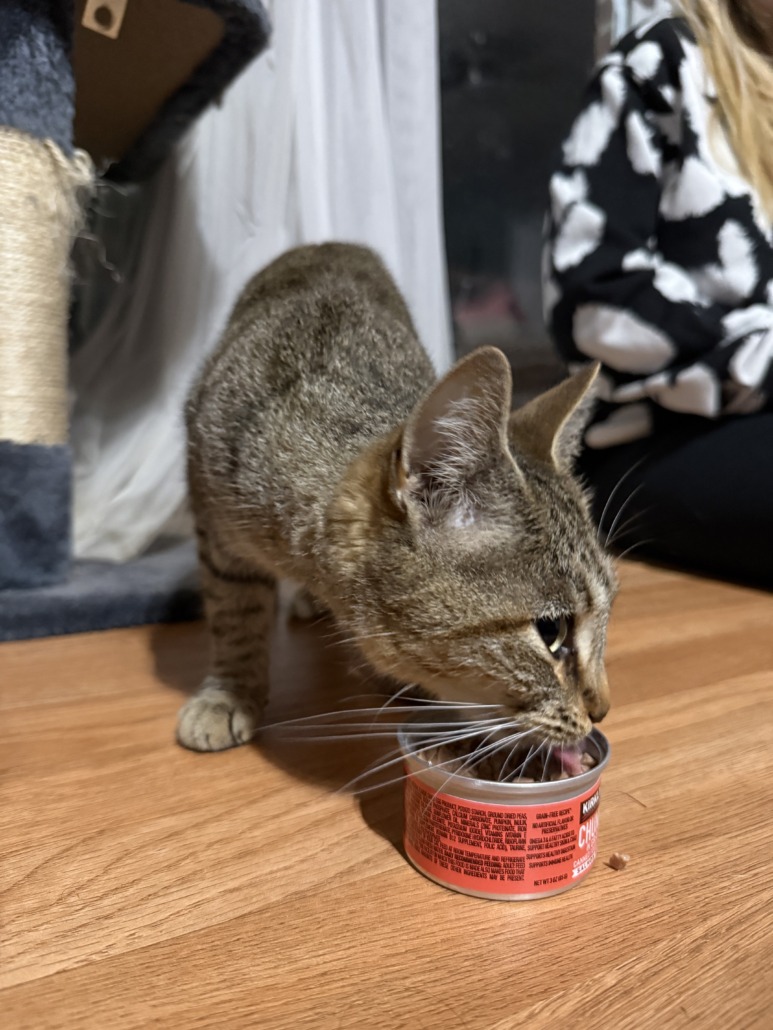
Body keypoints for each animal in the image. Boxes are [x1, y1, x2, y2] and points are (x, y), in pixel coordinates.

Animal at [177, 242, 616, 759]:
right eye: (552, 632)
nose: (603, 710)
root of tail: (329, 244)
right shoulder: (215, 522)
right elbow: (235, 615)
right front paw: (230, 693)